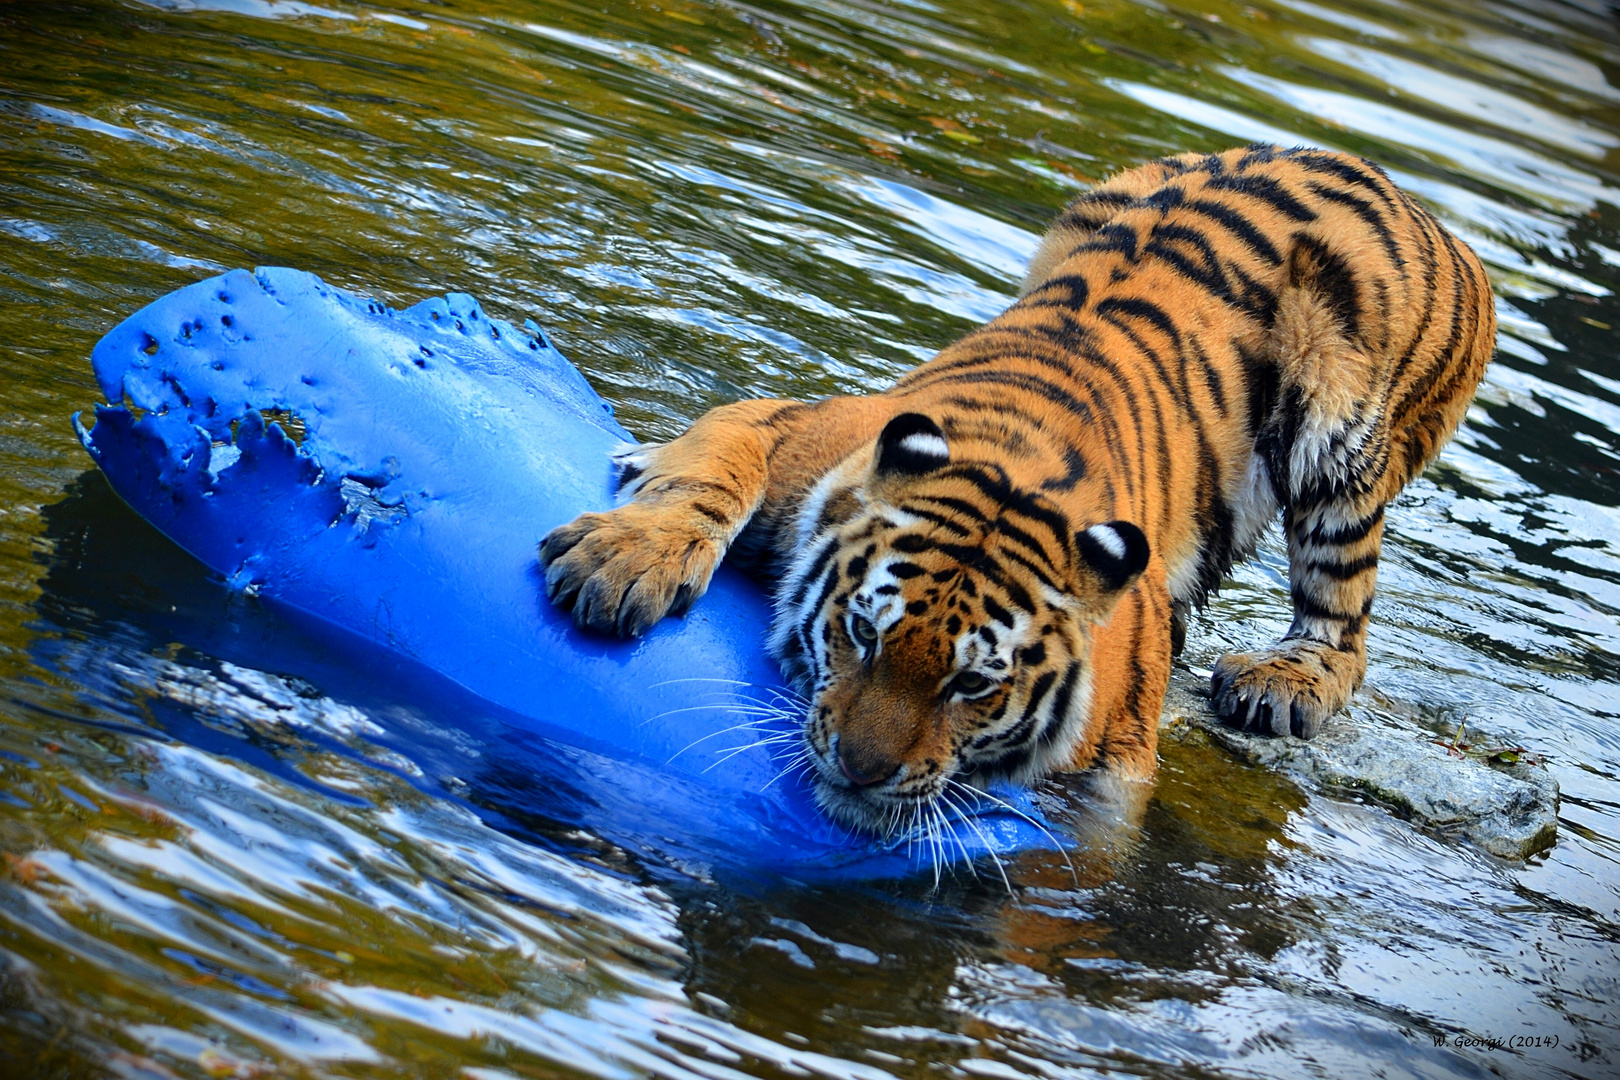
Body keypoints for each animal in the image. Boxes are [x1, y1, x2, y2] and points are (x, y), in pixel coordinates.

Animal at [541, 143, 1490, 835]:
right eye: (861, 634)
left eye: (974, 687)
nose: (860, 768)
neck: (1014, 468)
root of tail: (1413, 200)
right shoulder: (799, 428)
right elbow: (712, 471)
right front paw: (622, 562)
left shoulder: (1118, 747)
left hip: (1344, 435)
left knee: (1345, 625)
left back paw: (1282, 683)